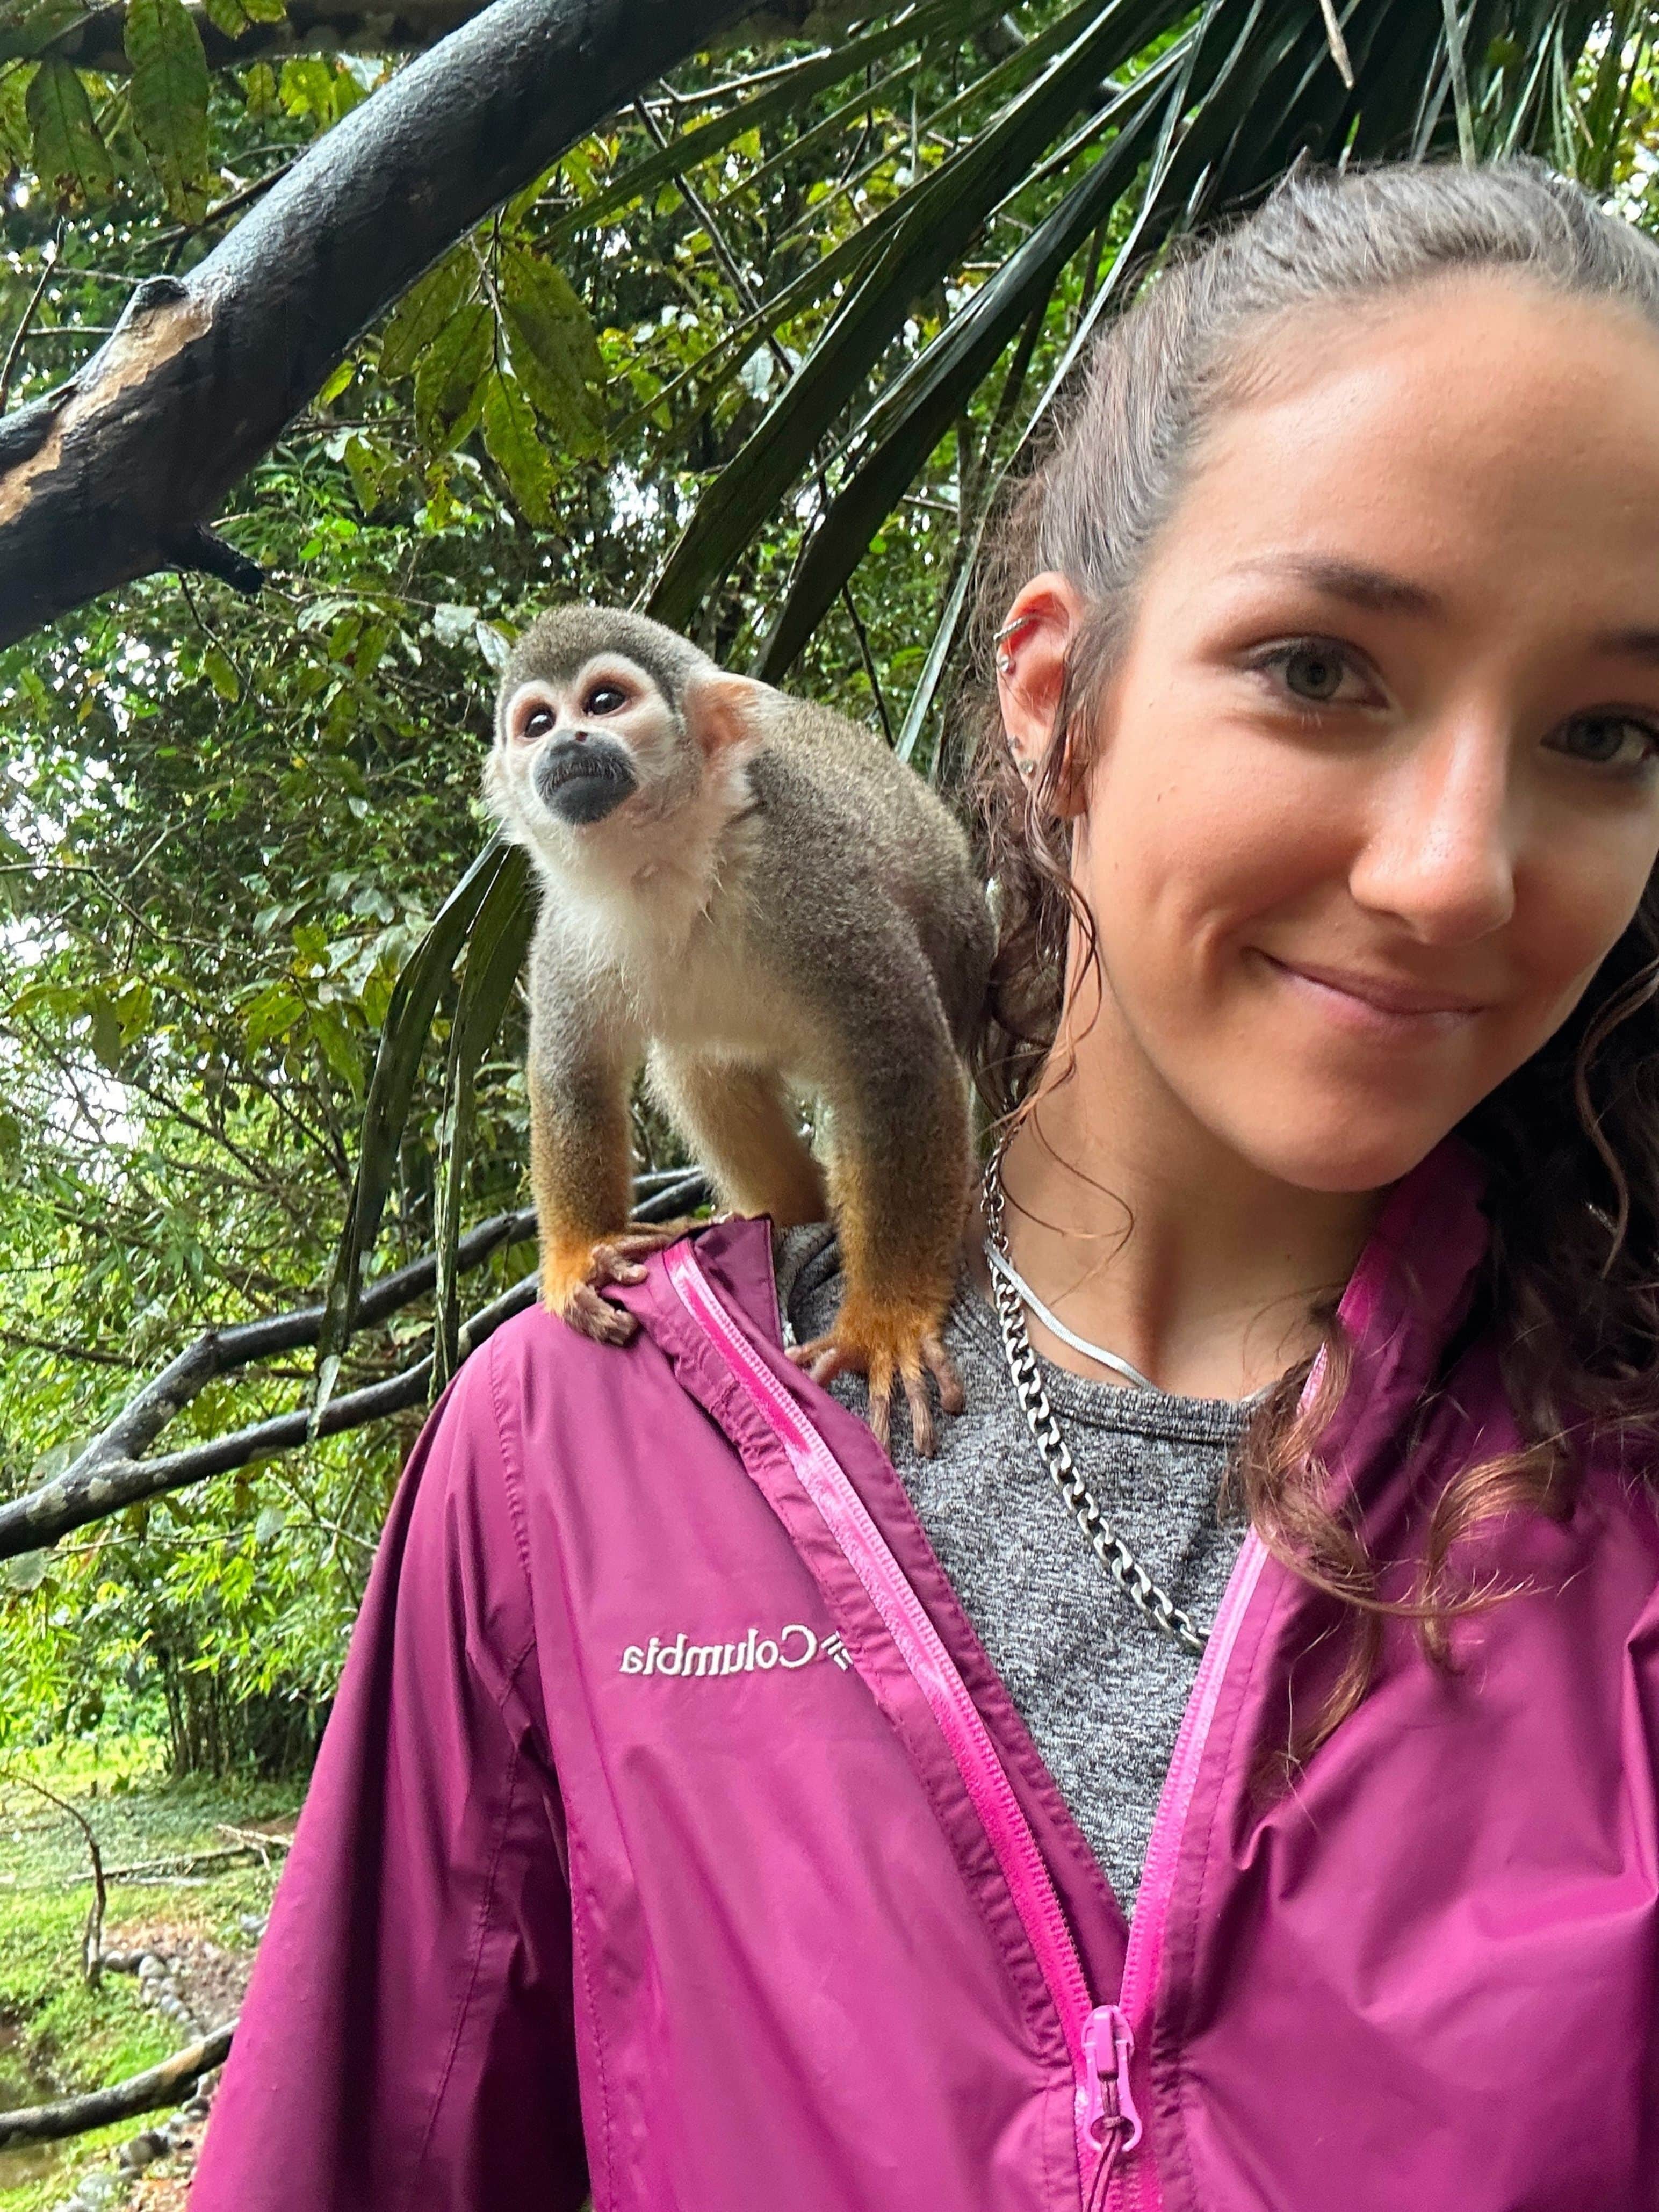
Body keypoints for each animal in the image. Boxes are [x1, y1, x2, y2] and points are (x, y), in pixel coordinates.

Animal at [483, 604, 995, 1456]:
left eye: (603, 703)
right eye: (538, 722)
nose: (568, 744)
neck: (660, 861)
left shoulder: (810, 872)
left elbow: (899, 1060)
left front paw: (885, 1321)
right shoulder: (566, 926)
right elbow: (573, 1075)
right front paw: (586, 1254)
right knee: (699, 1067)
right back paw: (785, 1215)